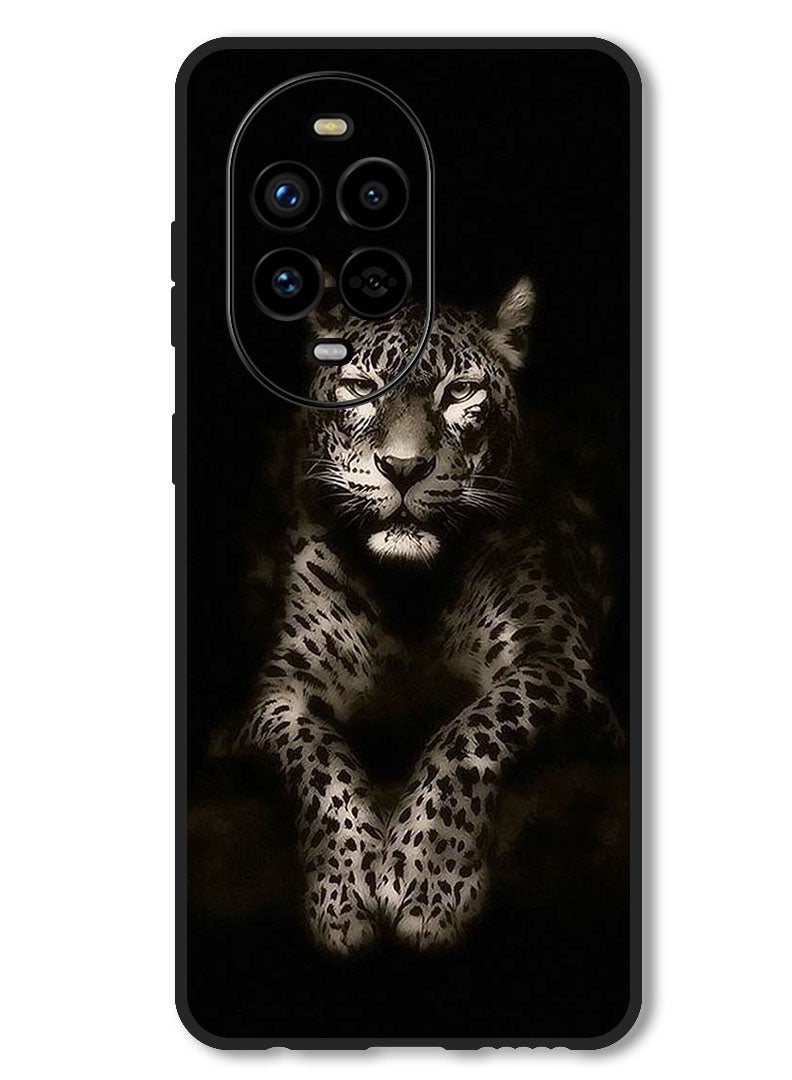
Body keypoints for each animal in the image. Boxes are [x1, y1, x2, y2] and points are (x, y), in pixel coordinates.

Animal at [234, 278, 624, 954]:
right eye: (361, 386)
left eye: (460, 391)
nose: (404, 468)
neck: (409, 593)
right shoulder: (280, 693)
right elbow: (318, 759)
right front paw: (344, 892)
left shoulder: (558, 663)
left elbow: (468, 732)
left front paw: (427, 881)